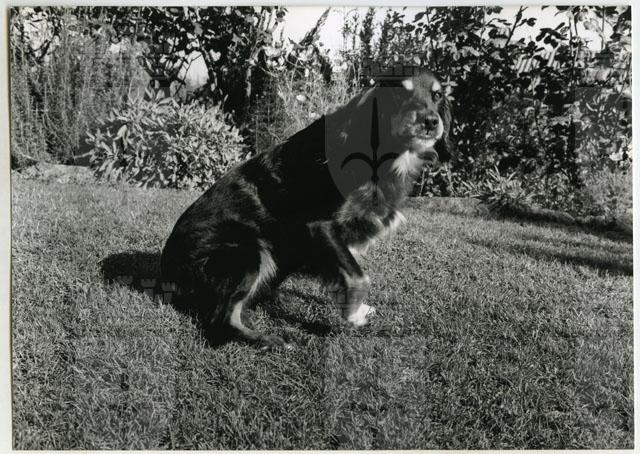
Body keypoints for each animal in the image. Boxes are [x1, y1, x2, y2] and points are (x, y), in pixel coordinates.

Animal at [161, 68, 452, 348]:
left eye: (437, 95)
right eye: (399, 93)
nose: (431, 122)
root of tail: (167, 271)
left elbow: (346, 271)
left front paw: (354, 308)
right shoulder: (318, 226)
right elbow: (359, 277)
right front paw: (353, 315)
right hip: (249, 251)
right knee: (221, 320)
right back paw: (271, 340)